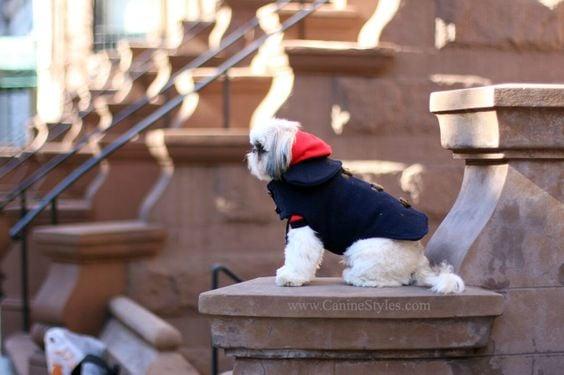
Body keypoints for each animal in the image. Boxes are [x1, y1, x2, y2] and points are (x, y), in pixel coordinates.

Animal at [246, 119, 462, 296]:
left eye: (260, 147)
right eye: (254, 147)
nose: (251, 152)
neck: (301, 165)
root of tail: (419, 260)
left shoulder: (303, 225)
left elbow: (299, 254)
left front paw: (291, 277)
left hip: (362, 248)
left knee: (394, 280)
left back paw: (355, 277)